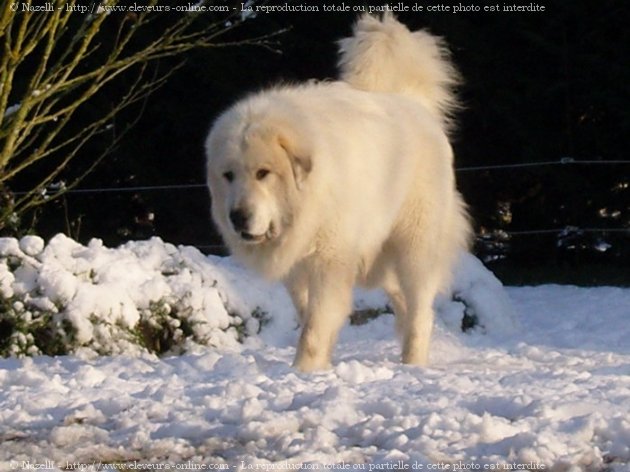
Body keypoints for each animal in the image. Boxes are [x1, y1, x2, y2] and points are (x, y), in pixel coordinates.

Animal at [205, 13, 472, 372]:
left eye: (263, 173)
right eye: (228, 176)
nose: (238, 217)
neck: (308, 198)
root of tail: (414, 103)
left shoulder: (329, 261)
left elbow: (315, 326)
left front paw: (305, 370)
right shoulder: (298, 267)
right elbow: (309, 315)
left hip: (415, 247)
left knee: (420, 310)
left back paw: (413, 363)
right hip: (379, 258)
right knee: (405, 303)